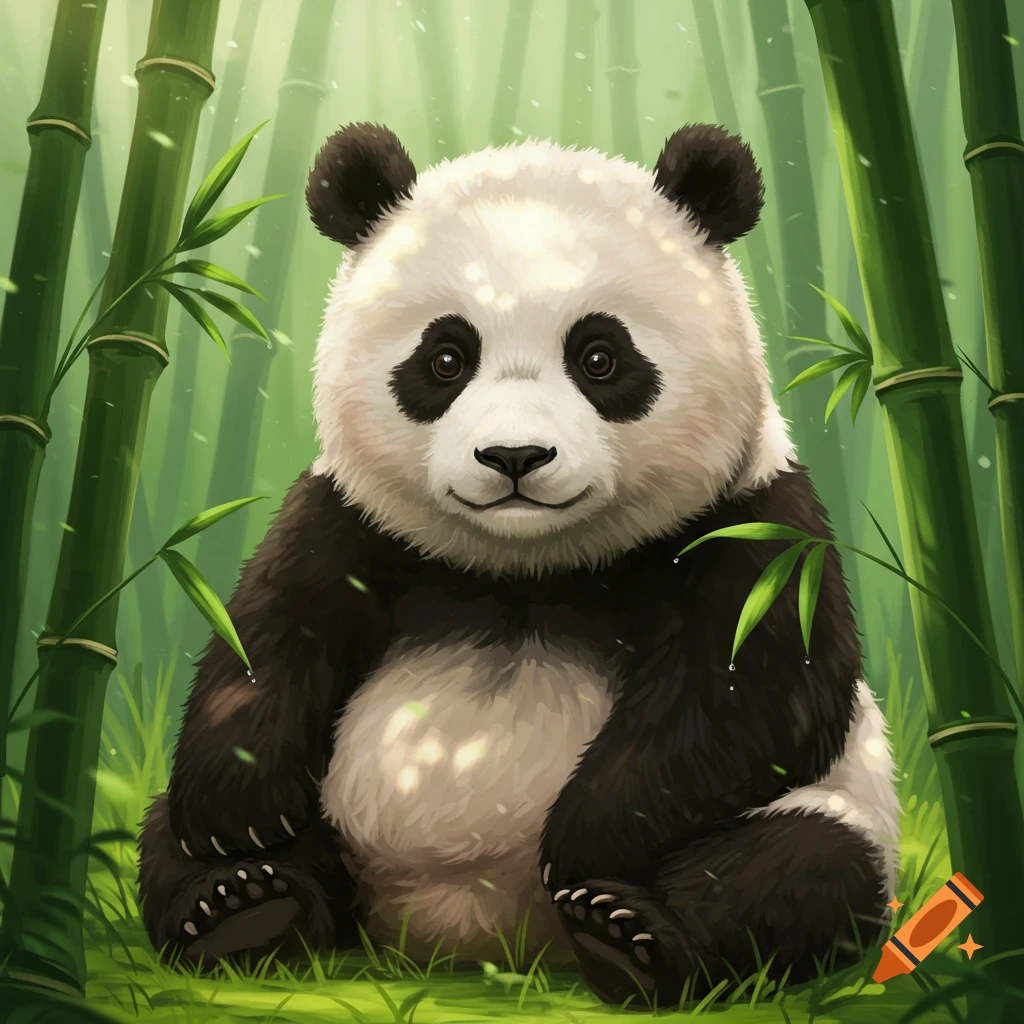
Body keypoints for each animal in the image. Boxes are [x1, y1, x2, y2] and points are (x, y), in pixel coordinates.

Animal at [139, 121, 901, 1006]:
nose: (514, 456)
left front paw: (584, 838)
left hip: (845, 813)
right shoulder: (349, 519)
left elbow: (755, 685)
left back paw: (625, 936)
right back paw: (244, 906)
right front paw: (242, 807)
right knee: (170, 837)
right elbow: (267, 635)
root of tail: (474, 941)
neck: (527, 568)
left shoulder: (754, 520)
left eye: (601, 357)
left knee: (799, 870)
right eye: (445, 358)